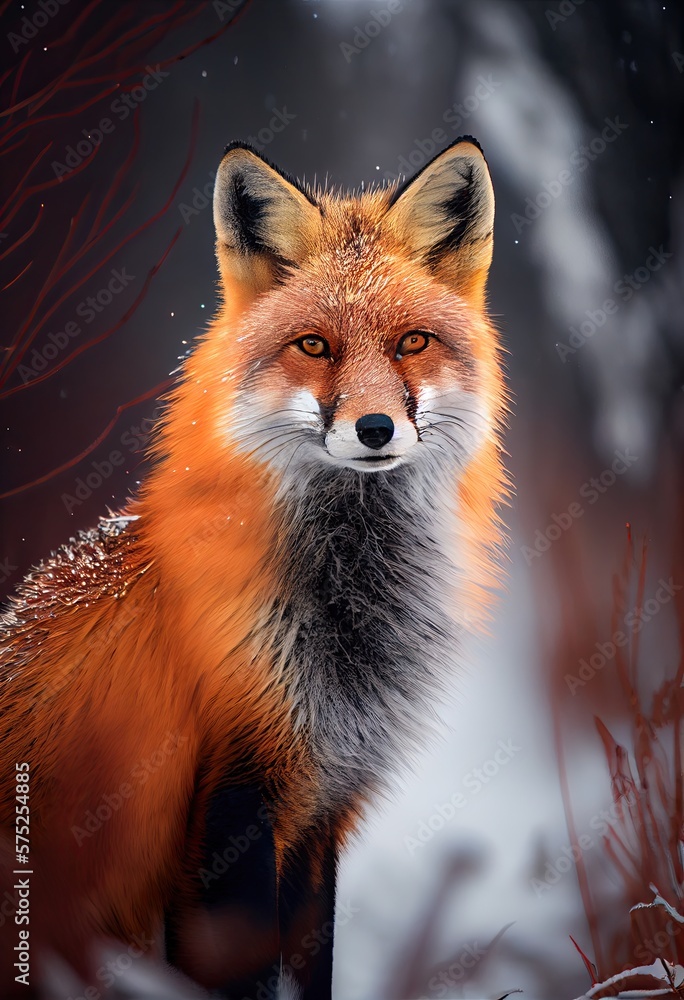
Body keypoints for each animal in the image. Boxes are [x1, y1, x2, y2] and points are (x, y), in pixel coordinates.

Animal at [0, 137, 507, 999]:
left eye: (411, 343)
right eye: (314, 346)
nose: (376, 428)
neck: (344, 627)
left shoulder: (320, 812)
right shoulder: (231, 809)